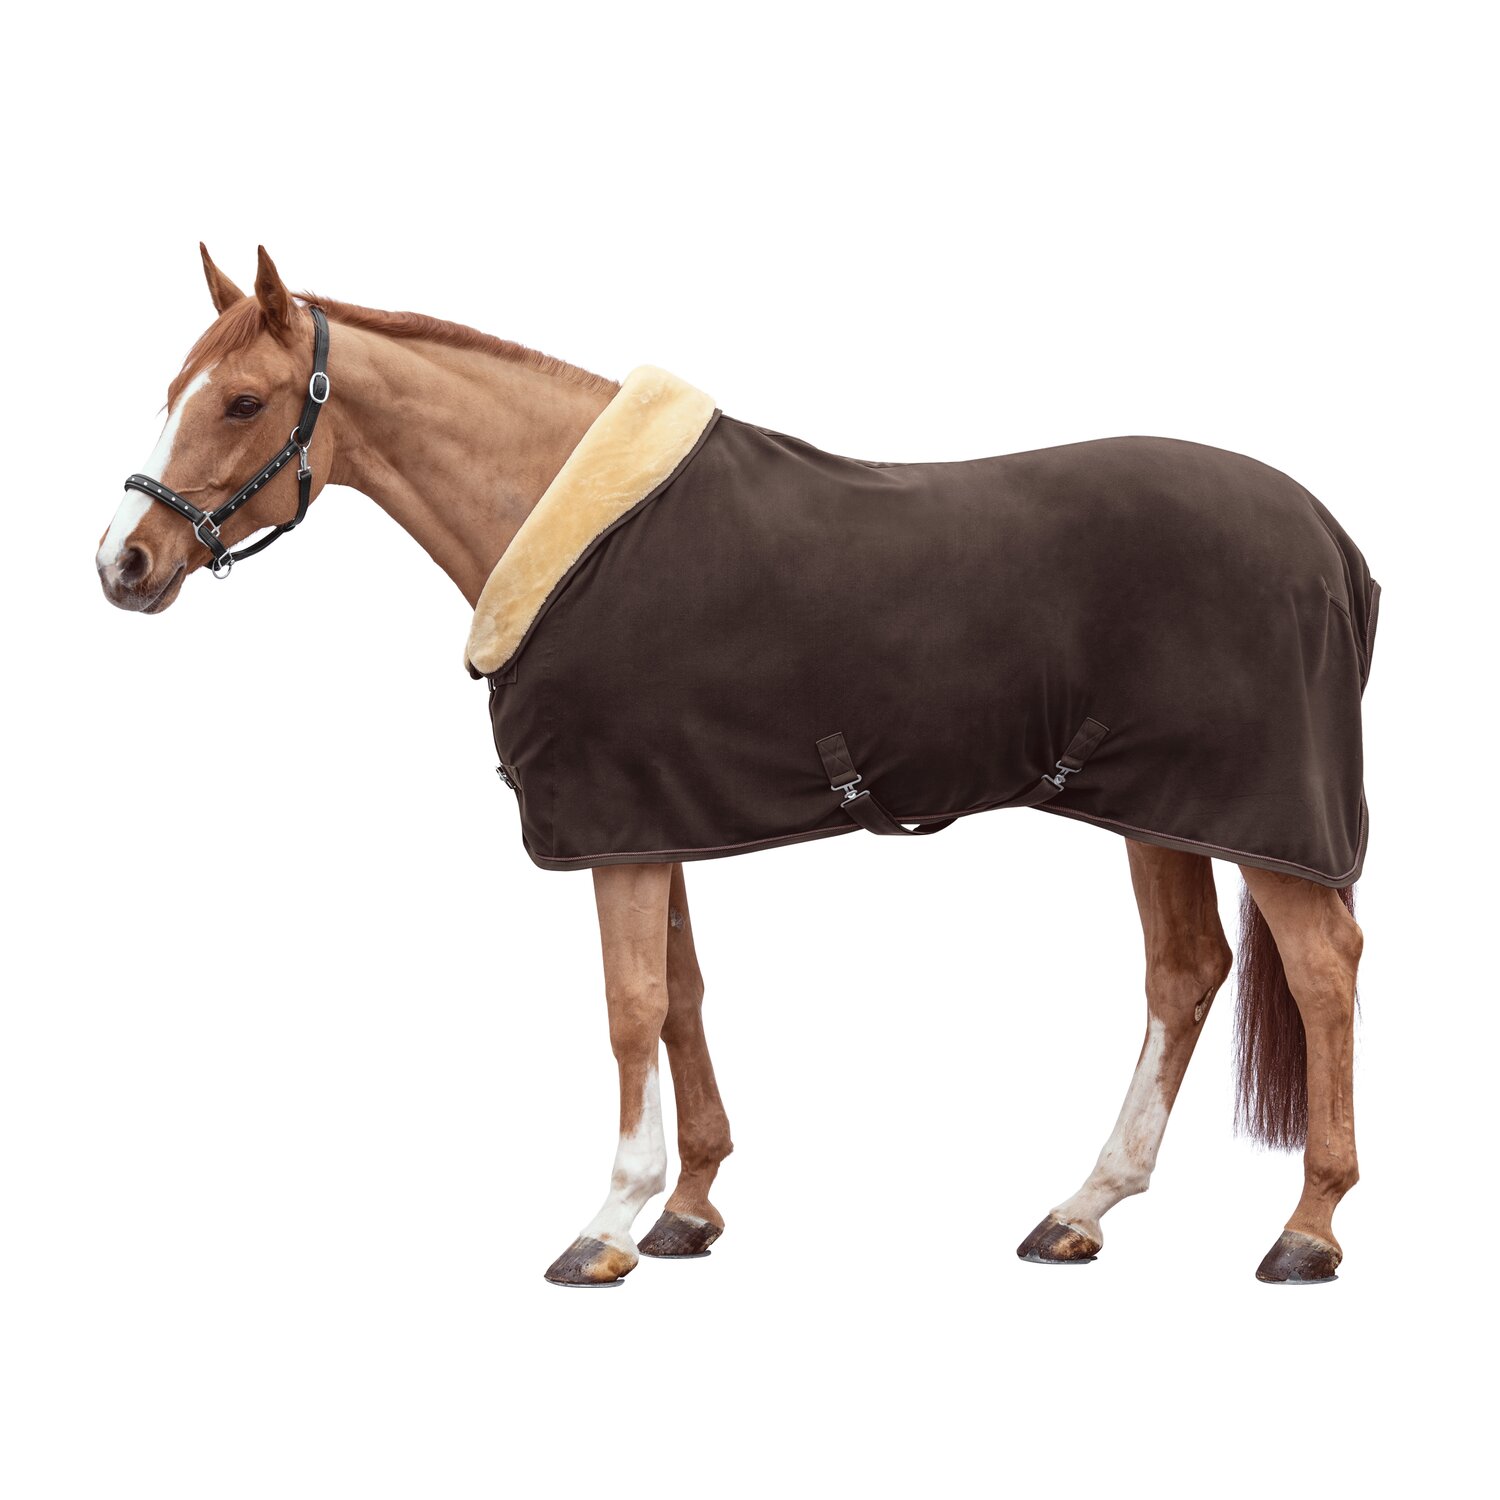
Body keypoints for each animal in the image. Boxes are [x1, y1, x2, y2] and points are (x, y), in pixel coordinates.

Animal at [98, 246, 1373, 1287]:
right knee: (1185, 972)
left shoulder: (612, 828)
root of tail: (1329, 540)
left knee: (1322, 971)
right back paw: (1081, 1210)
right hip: (1156, 810)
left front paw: (605, 1226)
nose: (123, 562)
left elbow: (629, 1010)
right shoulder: (654, 820)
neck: (577, 532)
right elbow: (682, 998)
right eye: (173, 395)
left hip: (1256, 818)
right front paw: (690, 1209)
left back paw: (1307, 1231)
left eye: (244, 401)